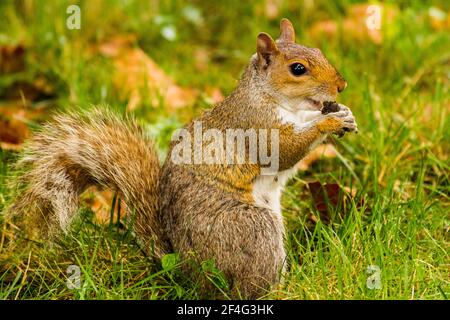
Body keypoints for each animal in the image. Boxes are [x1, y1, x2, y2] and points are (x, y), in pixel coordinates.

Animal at [7, 18, 356, 298]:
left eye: (318, 51)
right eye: (298, 69)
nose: (342, 85)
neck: (274, 98)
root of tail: (188, 272)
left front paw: (343, 114)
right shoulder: (256, 127)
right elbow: (285, 151)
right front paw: (328, 122)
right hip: (251, 228)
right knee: (247, 286)